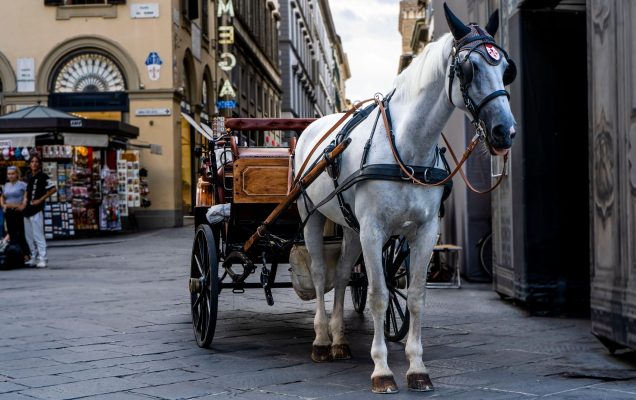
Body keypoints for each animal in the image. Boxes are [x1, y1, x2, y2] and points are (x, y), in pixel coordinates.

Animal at [294, 3, 516, 394]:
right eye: (468, 68)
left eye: (506, 68)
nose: (505, 131)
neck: (408, 146)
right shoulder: (373, 231)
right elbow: (379, 295)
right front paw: (382, 369)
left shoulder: (424, 232)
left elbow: (414, 296)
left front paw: (416, 367)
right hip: (312, 216)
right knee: (321, 274)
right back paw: (321, 341)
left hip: (350, 228)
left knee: (341, 276)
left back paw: (339, 341)